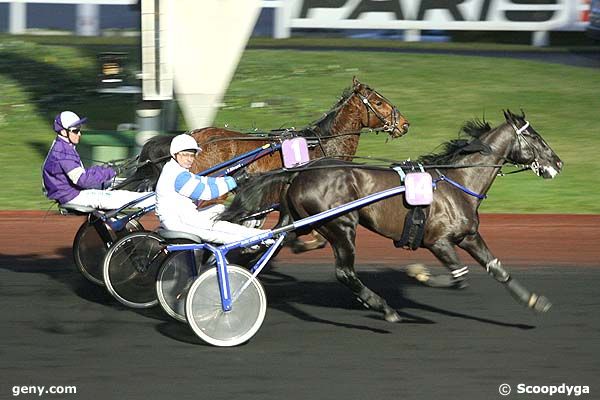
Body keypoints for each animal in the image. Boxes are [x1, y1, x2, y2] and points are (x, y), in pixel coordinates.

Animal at [220, 110, 564, 322]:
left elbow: (498, 269)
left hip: (301, 221)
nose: (558, 163)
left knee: (272, 247)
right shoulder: (438, 242)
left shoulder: (468, 236)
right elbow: (458, 277)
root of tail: (299, 172)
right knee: (344, 272)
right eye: (536, 137)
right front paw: (418, 274)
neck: (457, 182)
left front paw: (535, 301)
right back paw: (383, 307)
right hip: (341, 225)